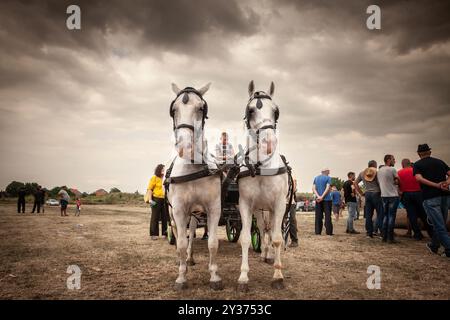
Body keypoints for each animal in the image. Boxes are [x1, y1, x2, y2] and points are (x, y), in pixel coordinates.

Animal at [164, 84, 224, 292]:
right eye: (174, 109)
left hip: (194, 214)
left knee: (190, 233)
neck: (194, 169)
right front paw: (181, 278)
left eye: (201, 108)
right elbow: (181, 243)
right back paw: (180, 260)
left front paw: (214, 276)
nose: (185, 146)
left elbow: (212, 243)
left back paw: (189, 259)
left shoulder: (213, 208)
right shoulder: (179, 210)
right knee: (177, 234)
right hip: (174, 214)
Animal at [236, 81, 292, 292]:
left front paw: (278, 275)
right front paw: (243, 277)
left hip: (271, 209)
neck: (261, 168)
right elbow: (244, 238)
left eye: (276, 111)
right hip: (259, 209)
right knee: (262, 228)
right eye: (251, 110)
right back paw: (264, 254)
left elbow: (277, 238)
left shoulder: (279, 204)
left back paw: (269, 256)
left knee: (270, 230)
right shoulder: (245, 204)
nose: (269, 143)